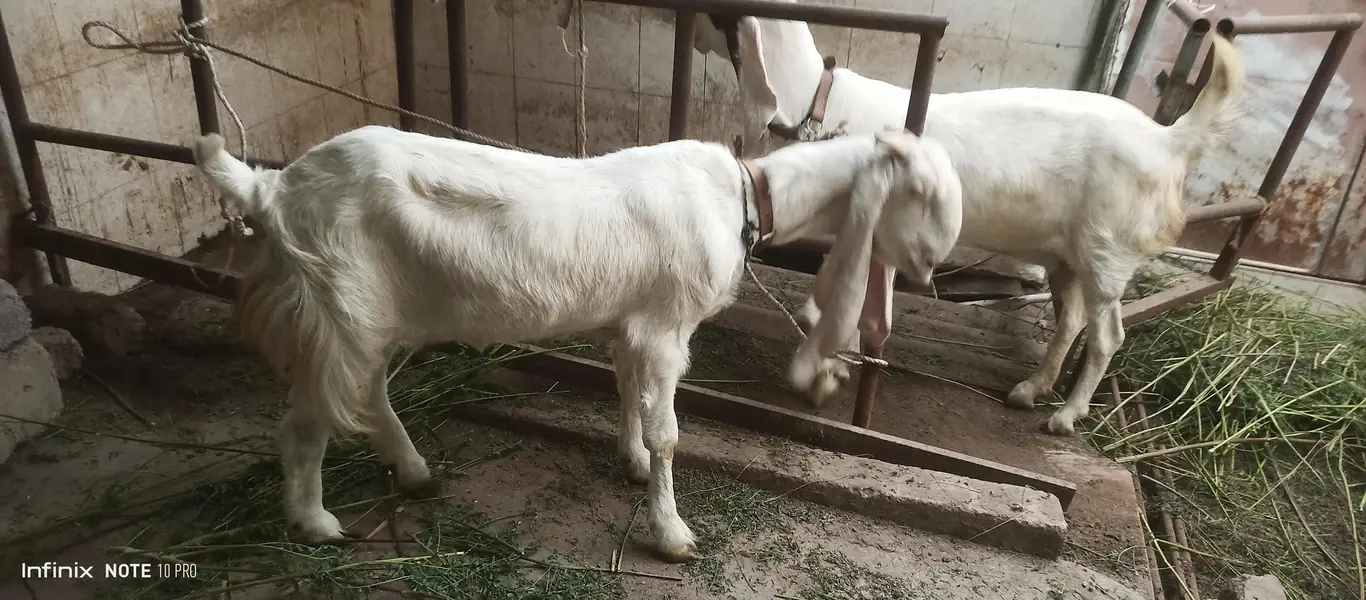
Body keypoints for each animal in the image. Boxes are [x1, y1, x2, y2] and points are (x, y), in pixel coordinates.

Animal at [191, 124, 963, 561]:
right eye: (923, 191)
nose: (932, 271)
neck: (744, 196)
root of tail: (272, 189)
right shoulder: (666, 326)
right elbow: (669, 433)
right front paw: (672, 534)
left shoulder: (631, 322)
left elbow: (626, 393)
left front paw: (629, 461)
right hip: (339, 309)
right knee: (305, 423)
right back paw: (315, 522)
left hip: (366, 317)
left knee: (365, 393)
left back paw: (412, 471)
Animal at [693, 9, 1246, 436]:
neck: (819, 103)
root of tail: (1168, 139)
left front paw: (832, 358)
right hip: (1066, 252)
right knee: (1069, 319)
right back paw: (1029, 390)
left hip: (1107, 247)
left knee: (1107, 333)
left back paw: (1065, 416)